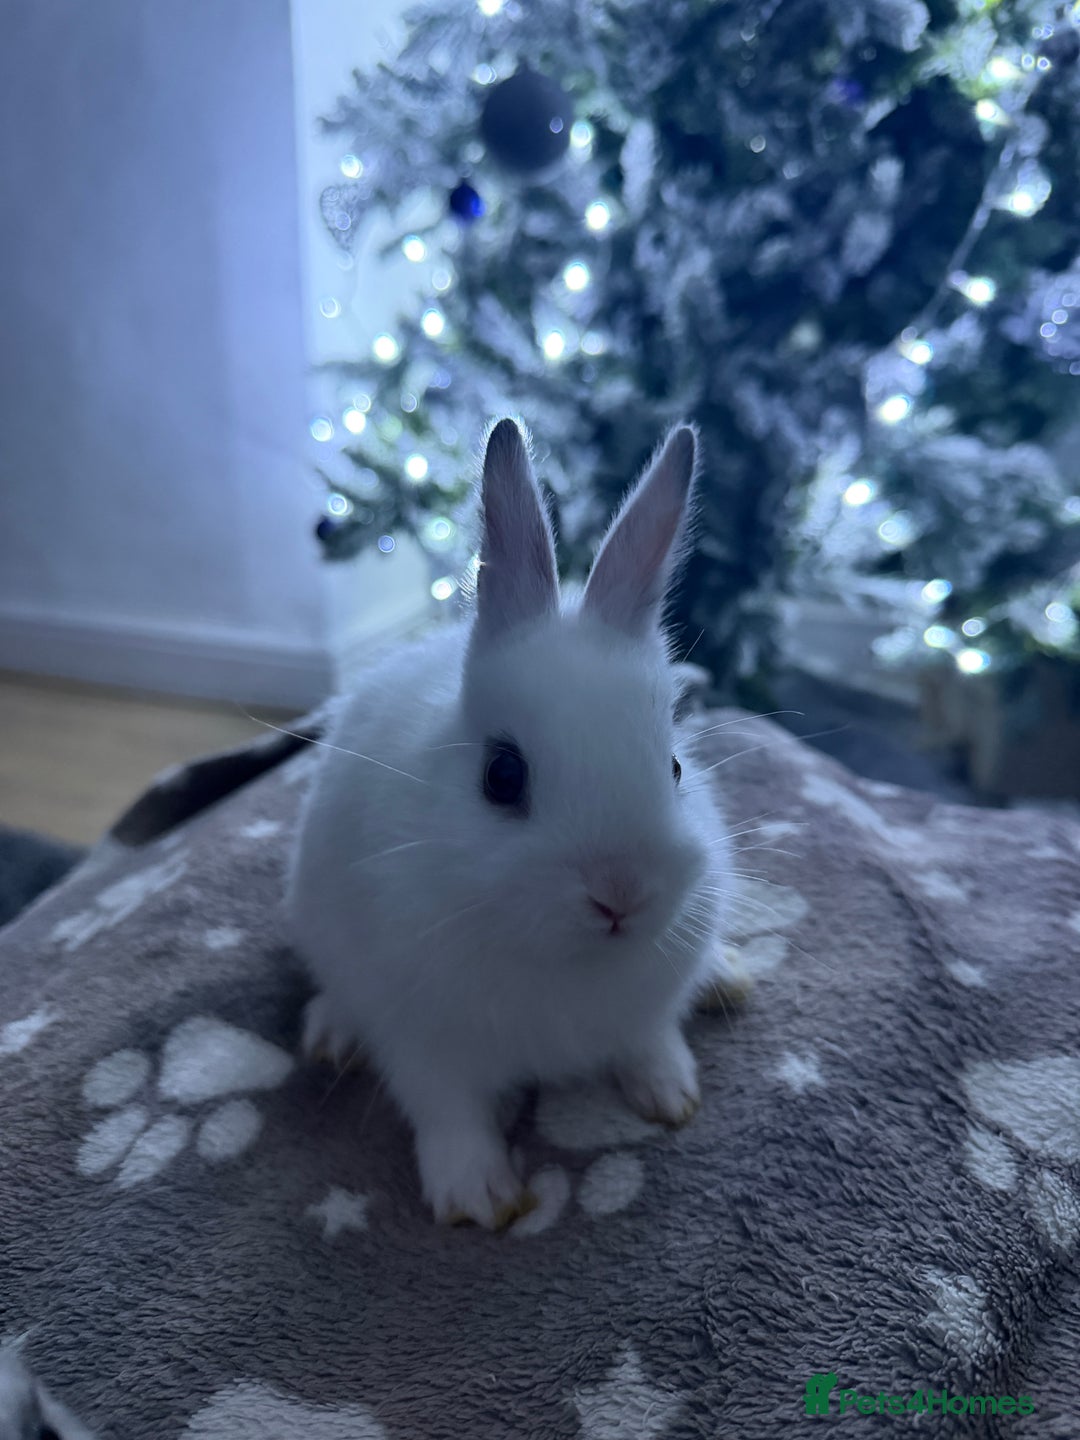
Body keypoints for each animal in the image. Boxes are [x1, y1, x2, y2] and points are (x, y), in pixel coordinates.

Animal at [286, 418, 737, 1229]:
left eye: (676, 768)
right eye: (502, 776)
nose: (620, 894)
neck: (565, 960)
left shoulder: (648, 1007)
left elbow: (651, 1041)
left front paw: (671, 1095)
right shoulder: (423, 1038)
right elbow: (446, 1109)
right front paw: (479, 1197)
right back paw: (334, 1033)